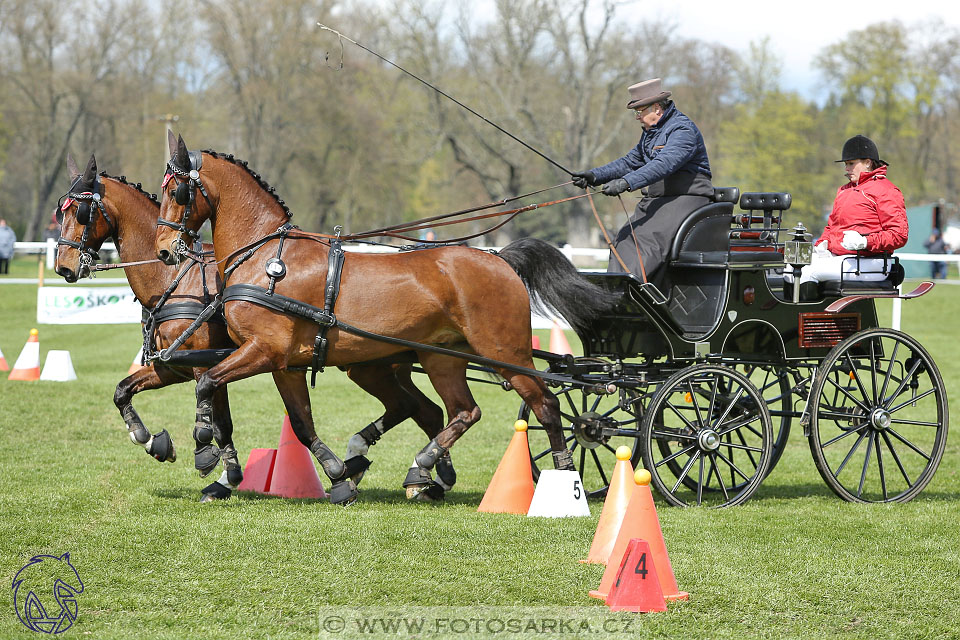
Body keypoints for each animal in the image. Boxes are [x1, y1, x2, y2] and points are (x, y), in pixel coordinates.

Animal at [57, 154, 450, 500]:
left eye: (80, 213)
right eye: (60, 211)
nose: (63, 267)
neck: (176, 280)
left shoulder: (206, 362)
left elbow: (220, 420)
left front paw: (217, 469)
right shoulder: (174, 366)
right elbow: (123, 391)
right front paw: (154, 442)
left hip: (374, 365)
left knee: (421, 408)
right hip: (376, 365)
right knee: (422, 409)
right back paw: (426, 476)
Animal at [153, 134, 612, 504]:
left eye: (177, 191)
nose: (164, 250)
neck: (266, 256)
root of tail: (498, 258)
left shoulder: (264, 351)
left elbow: (209, 384)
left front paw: (203, 448)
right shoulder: (285, 364)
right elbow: (299, 422)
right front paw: (339, 476)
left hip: (505, 352)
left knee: (546, 405)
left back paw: (565, 475)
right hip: (443, 358)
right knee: (462, 412)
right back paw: (422, 469)